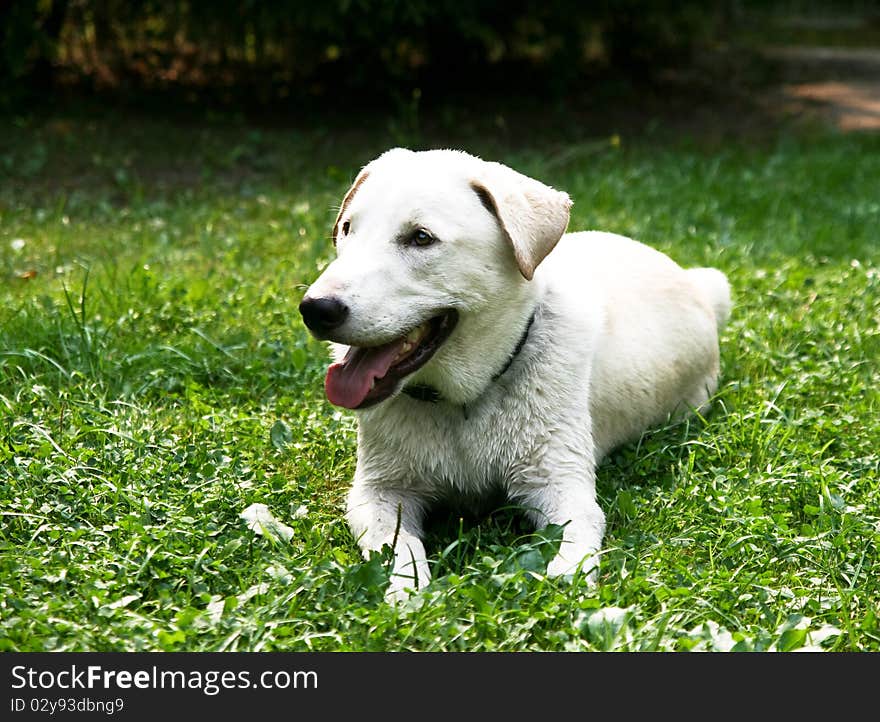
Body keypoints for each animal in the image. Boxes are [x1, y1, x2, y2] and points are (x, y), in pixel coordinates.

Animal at [300, 146, 732, 596]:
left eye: (421, 237)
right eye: (347, 229)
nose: (315, 309)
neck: (464, 403)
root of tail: (697, 286)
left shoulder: (560, 483)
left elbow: (575, 545)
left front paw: (563, 584)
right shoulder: (378, 491)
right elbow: (400, 548)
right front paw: (406, 591)